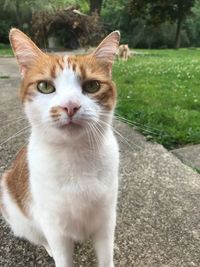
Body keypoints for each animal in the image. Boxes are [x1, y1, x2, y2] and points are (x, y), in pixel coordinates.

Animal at [0, 28, 119, 266]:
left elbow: (106, 256)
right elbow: (61, 254)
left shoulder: (106, 220)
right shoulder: (55, 228)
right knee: (40, 237)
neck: (75, 154)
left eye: (92, 86)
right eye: (45, 86)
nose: (70, 106)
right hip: (18, 214)